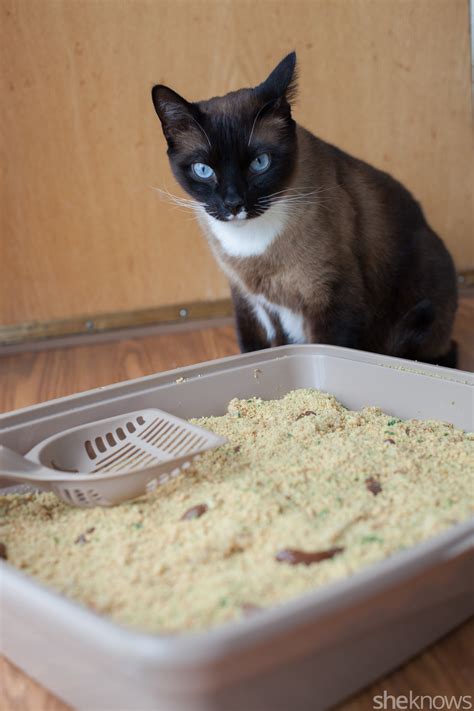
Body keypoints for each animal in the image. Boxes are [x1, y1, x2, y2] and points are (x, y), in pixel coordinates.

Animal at [151, 51, 458, 366]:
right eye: (203, 170)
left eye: (260, 163)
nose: (233, 203)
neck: (251, 245)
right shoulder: (250, 303)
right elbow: (252, 351)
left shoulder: (330, 300)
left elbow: (328, 349)